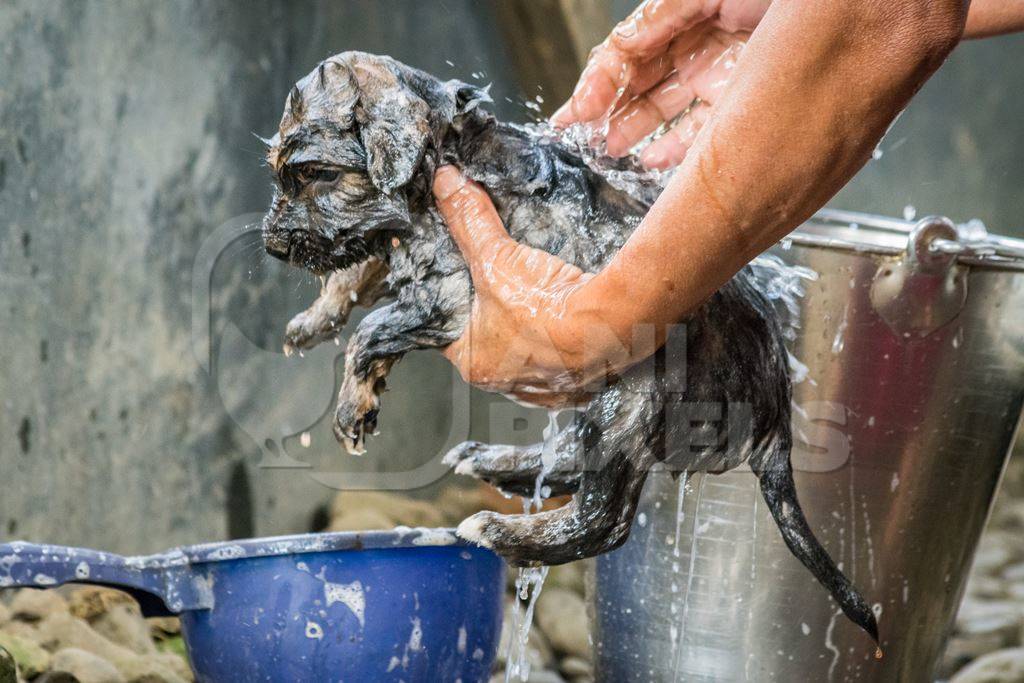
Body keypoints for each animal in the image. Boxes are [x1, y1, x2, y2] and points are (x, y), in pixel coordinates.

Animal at [260, 52, 876, 643]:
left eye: (317, 173)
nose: (272, 246)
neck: (448, 157)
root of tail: (776, 407)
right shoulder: (400, 252)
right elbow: (359, 269)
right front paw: (311, 322)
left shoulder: (454, 297)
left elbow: (372, 328)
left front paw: (351, 406)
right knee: (571, 461)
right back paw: (494, 462)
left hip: (634, 401)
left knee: (603, 518)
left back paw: (499, 530)